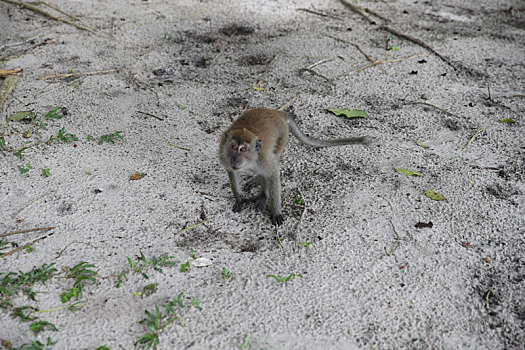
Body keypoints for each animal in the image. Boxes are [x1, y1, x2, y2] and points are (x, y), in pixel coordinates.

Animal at [219, 108, 370, 226]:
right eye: (234, 147)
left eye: (243, 149)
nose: (235, 159)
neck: (250, 161)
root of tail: (276, 112)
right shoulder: (224, 155)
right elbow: (232, 173)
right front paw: (240, 199)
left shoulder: (263, 158)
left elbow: (273, 174)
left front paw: (272, 207)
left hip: (283, 135)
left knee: (274, 160)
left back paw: (261, 191)